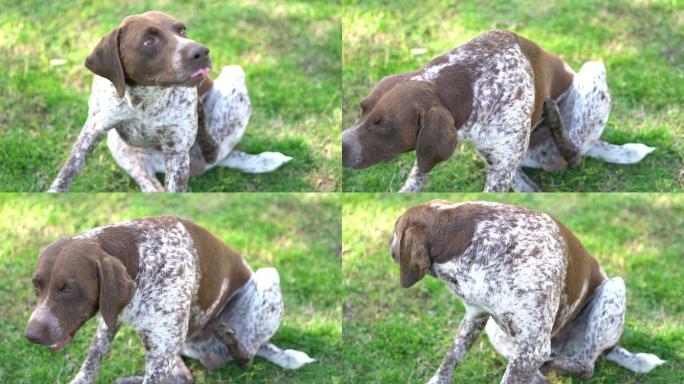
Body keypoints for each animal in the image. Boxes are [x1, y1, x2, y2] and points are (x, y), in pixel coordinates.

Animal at [25, 218, 314, 382]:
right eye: (37, 285)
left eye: (68, 289)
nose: (31, 335)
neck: (140, 257)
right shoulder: (111, 318)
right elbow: (93, 358)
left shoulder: (161, 354)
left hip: (267, 276)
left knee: (249, 356)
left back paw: (235, 344)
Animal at [48, 11, 292, 192]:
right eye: (149, 41)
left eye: (182, 30)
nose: (202, 52)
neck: (145, 99)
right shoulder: (94, 129)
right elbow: (69, 170)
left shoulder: (177, 153)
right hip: (119, 145)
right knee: (152, 187)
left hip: (234, 75)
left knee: (218, 151)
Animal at [344, 30, 656, 192]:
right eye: (362, 109)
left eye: (383, 125)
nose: (342, 147)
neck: (471, 82)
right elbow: (417, 176)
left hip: (592, 70)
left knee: (575, 154)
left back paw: (558, 129)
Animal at [392, 201, 664, 384]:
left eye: (395, 231)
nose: (389, 246)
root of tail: (613, 348)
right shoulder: (476, 316)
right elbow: (452, 357)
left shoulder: (532, 348)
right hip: (499, 334)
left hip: (612, 288)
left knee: (586, 364)